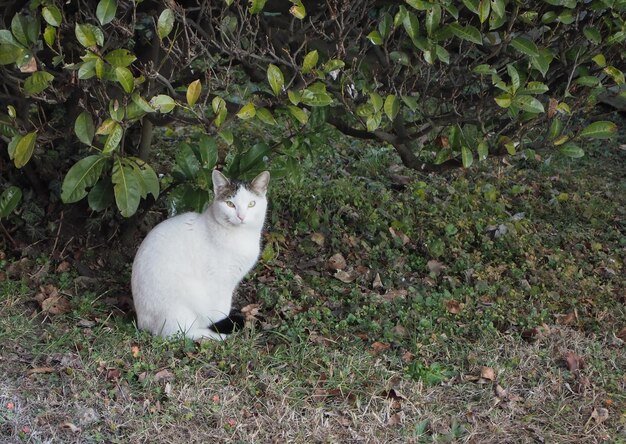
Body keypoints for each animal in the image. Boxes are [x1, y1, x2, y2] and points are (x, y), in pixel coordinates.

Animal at [130, 170, 270, 340]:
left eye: (251, 204)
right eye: (230, 204)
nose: (241, 217)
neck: (241, 237)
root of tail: (142, 323)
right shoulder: (219, 282)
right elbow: (220, 310)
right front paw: (221, 325)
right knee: (175, 334)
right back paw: (213, 335)